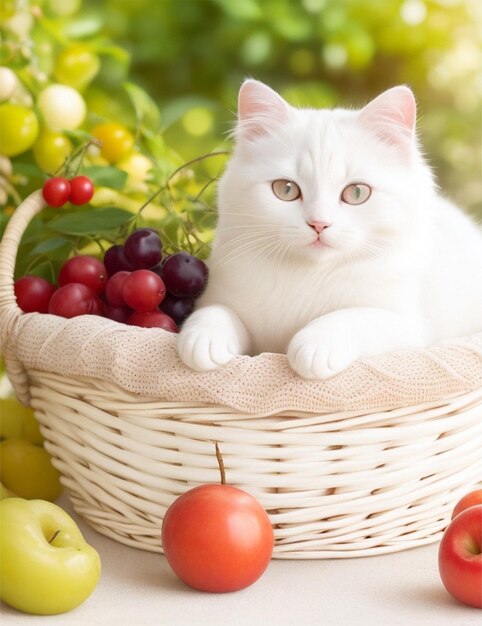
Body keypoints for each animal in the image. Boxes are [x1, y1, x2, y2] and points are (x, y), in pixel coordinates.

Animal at [179, 80, 482, 378]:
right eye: (286, 189)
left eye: (357, 192)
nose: (319, 223)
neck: (308, 275)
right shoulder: (219, 294)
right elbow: (217, 311)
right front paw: (202, 338)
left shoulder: (410, 326)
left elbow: (352, 317)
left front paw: (315, 345)